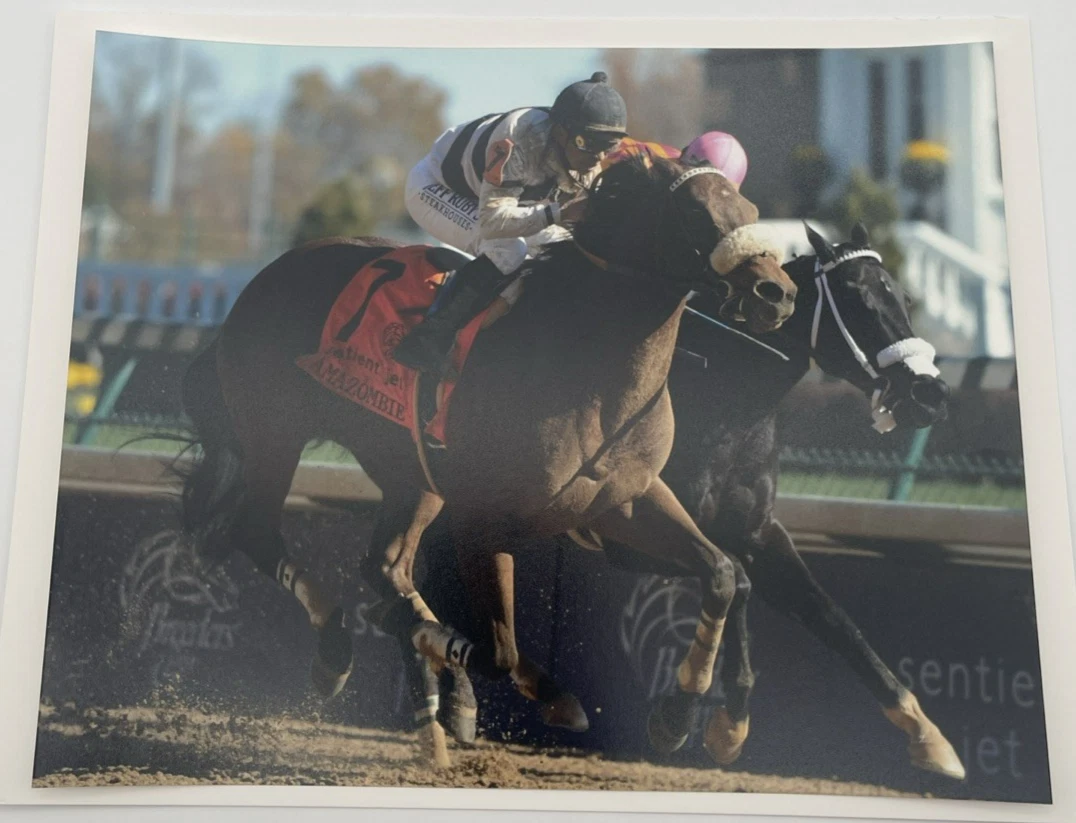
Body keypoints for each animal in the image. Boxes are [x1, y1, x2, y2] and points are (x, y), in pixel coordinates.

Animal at [177, 155, 797, 767]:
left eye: (748, 210)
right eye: (695, 214)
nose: (777, 293)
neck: (594, 374)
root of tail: (265, 277)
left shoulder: (624, 500)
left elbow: (723, 573)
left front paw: (688, 718)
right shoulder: (482, 520)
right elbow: (496, 649)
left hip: (411, 474)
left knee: (386, 566)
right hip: (274, 434)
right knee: (259, 532)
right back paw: (341, 654)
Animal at [417, 222, 964, 780]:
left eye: (905, 298)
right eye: (855, 296)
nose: (932, 394)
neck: (728, 404)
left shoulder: (757, 531)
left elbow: (828, 615)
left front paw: (926, 733)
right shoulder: (630, 536)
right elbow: (738, 586)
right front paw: (714, 722)